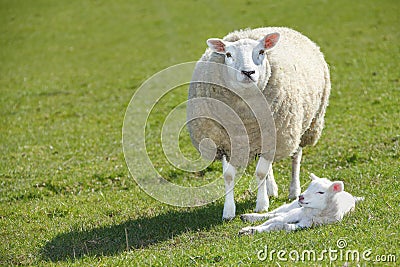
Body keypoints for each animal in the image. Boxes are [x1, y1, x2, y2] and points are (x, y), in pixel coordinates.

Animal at [188, 26, 332, 220]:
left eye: (261, 52)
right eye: (228, 54)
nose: (248, 72)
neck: (245, 116)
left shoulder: (275, 135)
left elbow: (260, 172)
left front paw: (262, 205)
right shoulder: (225, 142)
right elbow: (229, 176)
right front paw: (228, 211)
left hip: (300, 128)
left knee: (296, 156)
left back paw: (293, 190)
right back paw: (271, 189)